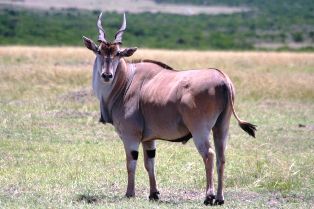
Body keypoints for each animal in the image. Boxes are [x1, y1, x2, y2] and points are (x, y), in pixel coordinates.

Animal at [82, 12, 256, 205]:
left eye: (118, 54)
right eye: (99, 51)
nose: (107, 75)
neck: (126, 81)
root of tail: (223, 78)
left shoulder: (130, 136)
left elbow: (131, 163)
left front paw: (130, 193)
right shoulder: (148, 140)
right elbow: (149, 163)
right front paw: (153, 194)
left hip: (200, 129)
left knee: (209, 155)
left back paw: (209, 196)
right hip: (221, 127)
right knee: (221, 157)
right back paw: (219, 198)